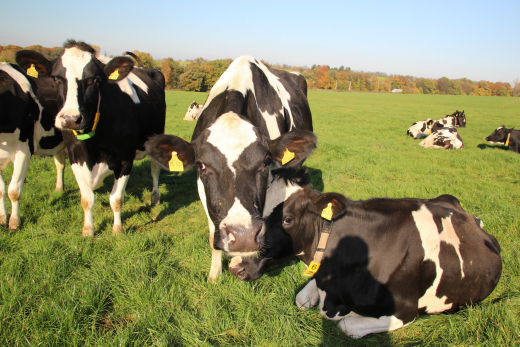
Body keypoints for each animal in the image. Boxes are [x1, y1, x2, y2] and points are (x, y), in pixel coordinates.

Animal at [0, 61, 65, 231]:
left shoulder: (24, 150)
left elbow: (14, 190)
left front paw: (14, 222)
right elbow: (1, 190)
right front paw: (2, 218)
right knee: (60, 164)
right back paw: (59, 188)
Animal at [16, 40, 166, 237]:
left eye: (95, 80)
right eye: (55, 78)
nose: (70, 119)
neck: (92, 149)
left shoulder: (125, 159)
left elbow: (116, 199)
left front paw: (117, 229)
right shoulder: (74, 157)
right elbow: (87, 199)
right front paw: (88, 230)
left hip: (156, 137)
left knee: (155, 169)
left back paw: (154, 197)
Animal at [146, 55, 316, 282]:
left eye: (265, 162)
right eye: (202, 165)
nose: (243, 236)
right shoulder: (202, 188)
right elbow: (213, 237)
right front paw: (214, 275)